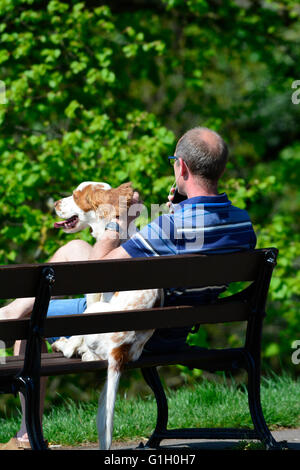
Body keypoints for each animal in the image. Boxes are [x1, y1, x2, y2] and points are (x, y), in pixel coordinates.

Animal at [52, 182, 159, 450]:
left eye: (76, 195)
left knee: (76, 348)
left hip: (93, 312)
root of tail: (119, 350)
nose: (55, 204)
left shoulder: (92, 295)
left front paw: (69, 344)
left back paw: (65, 346)